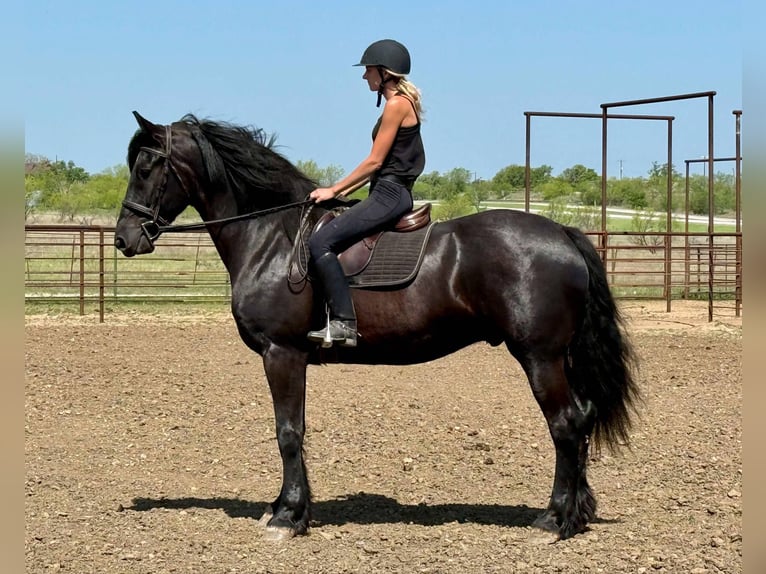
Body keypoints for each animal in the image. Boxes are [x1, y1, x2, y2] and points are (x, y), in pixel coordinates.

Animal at [115, 111, 639, 542]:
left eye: (146, 167)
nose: (124, 239)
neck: (272, 238)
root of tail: (563, 234)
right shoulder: (292, 357)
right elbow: (296, 429)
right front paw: (289, 509)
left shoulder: (281, 352)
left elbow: (288, 432)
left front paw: (286, 518)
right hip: (558, 357)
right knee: (583, 416)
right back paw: (577, 515)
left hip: (539, 356)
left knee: (566, 423)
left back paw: (553, 520)